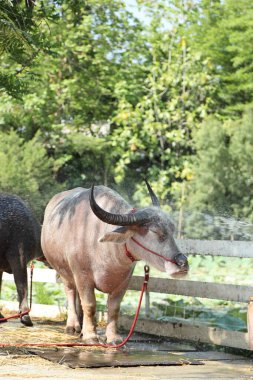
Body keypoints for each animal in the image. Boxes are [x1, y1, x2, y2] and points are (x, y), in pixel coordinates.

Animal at [41, 182, 188, 344]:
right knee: (71, 293)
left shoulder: (124, 281)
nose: (183, 264)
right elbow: (90, 305)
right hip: (64, 272)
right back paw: (73, 326)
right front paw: (90, 336)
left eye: (172, 229)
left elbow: (114, 308)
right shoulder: (82, 276)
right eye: (155, 231)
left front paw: (113, 337)